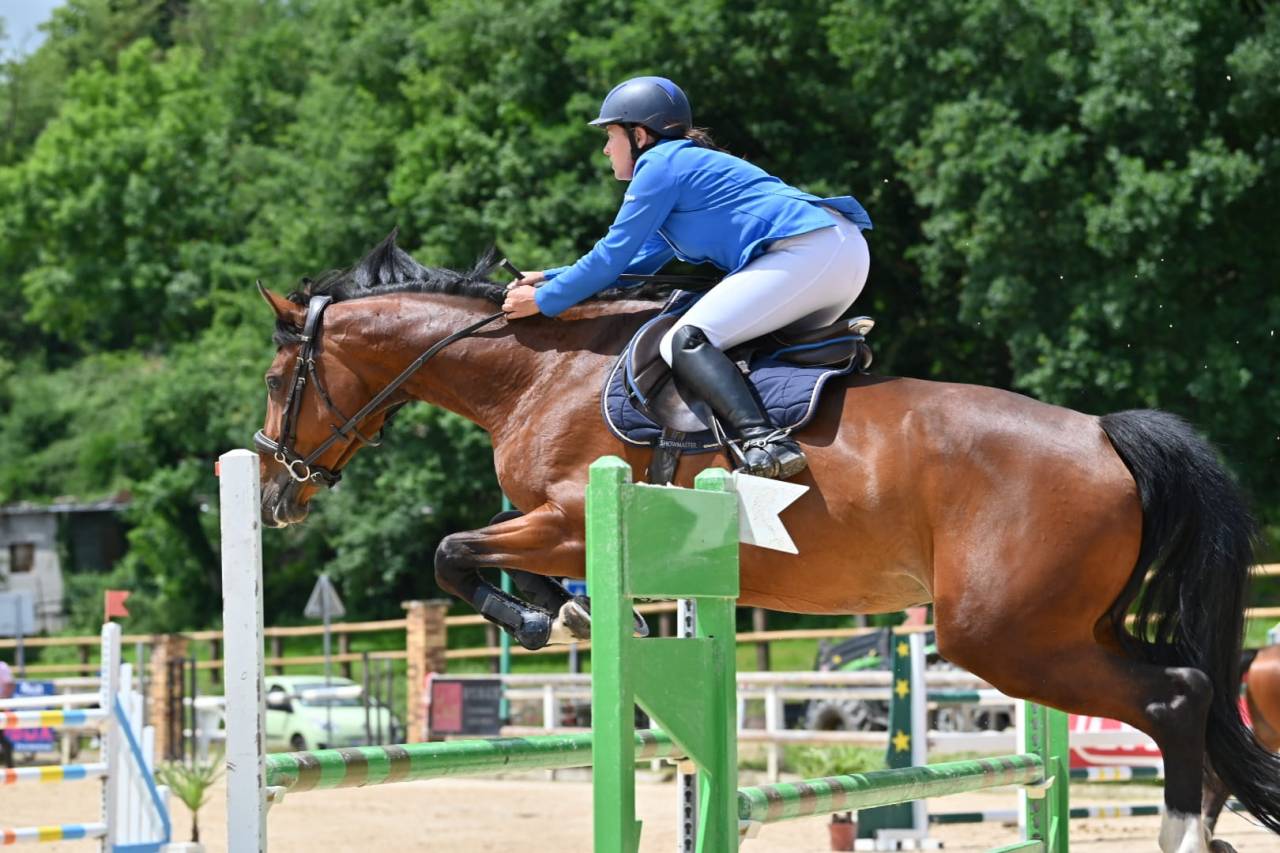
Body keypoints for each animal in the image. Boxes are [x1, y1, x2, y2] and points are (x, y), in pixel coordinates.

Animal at [252, 231, 1275, 853]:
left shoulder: (570, 518)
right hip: (1070, 625)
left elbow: (453, 550)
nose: (271, 493)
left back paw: (1183, 830)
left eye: (274, 378)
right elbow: (481, 556)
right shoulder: (565, 531)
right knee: (1192, 685)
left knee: (1177, 694)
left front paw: (546, 620)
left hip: (1004, 634)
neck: (537, 371)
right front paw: (570, 616)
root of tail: (1104, 433)